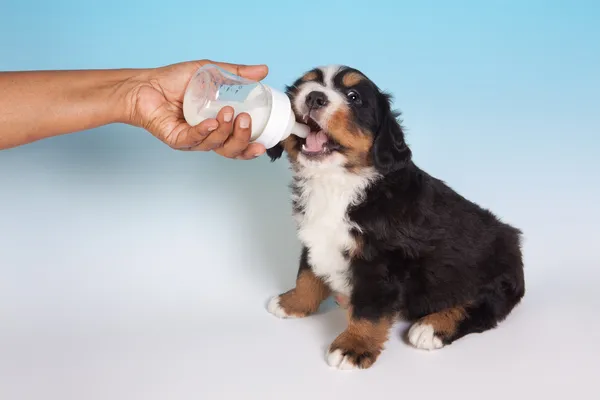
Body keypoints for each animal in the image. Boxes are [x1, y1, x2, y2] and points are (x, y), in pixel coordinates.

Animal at [264, 65, 524, 368]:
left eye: (354, 97)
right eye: (303, 86)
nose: (315, 97)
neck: (339, 182)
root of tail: (513, 239)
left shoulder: (381, 263)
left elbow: (369, 311)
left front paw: (353, 346)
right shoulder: (313, 235)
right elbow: (306, 274)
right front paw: (292, 303)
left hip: (495, 277)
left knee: (485, 308)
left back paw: (432, 327)